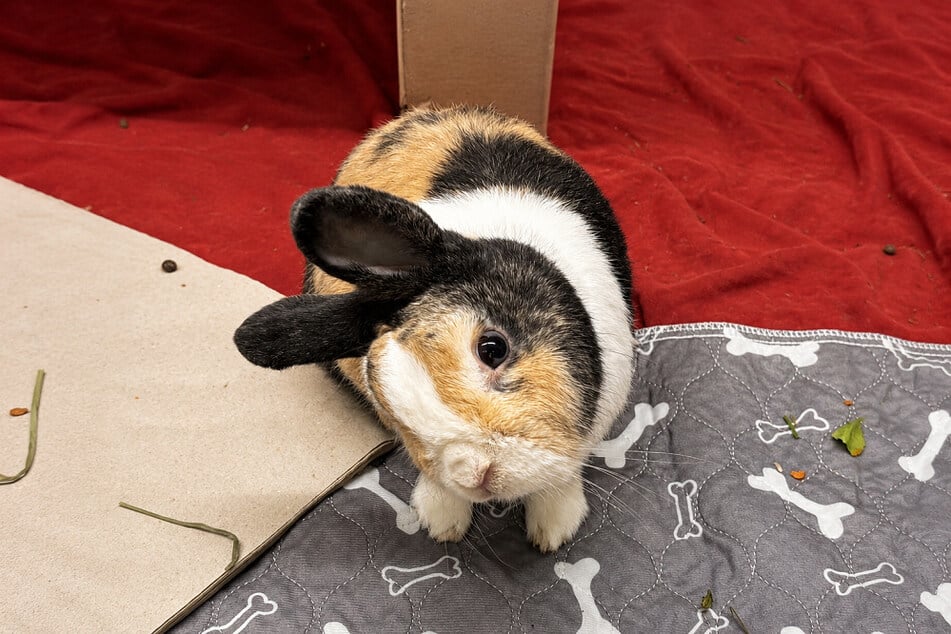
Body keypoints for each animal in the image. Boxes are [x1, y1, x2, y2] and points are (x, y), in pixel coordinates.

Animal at [234, 105, 637, 552]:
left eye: (493, 348)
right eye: (387, 401)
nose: (476, 474)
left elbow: (565, 474)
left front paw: (553, 530)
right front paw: (442, 522)